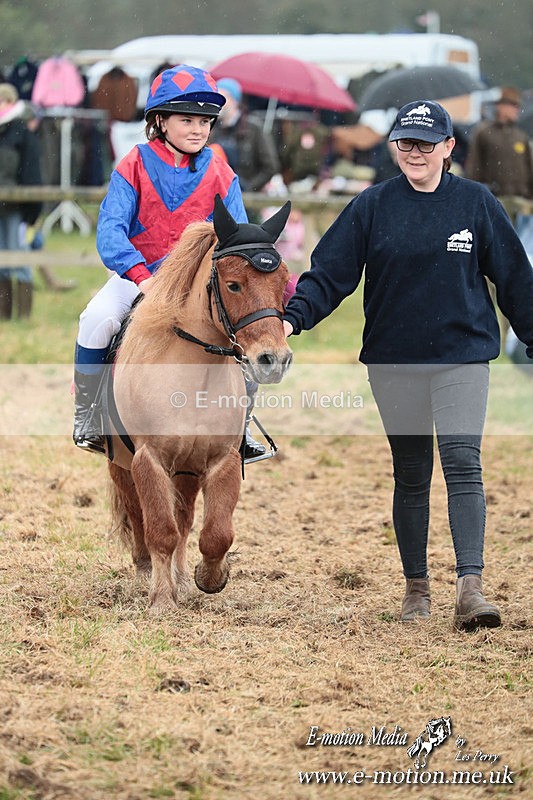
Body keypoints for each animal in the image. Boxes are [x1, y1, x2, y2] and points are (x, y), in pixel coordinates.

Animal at [106, 195, 293, 611]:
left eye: (283, 282)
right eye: (233, 284)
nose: (274, 360)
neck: (194, 380)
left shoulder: (222, 460)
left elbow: (215, 532)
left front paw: (208, 579)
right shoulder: (149, 460)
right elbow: (159, 529)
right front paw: (161, 598)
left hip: (187, 471)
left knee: (185, 518)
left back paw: (180, 578)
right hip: (121, 463)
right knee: (139, 516)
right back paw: (146, 573)